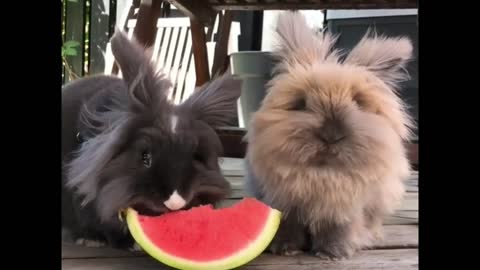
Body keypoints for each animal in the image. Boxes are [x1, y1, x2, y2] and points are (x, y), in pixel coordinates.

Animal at [246, 11, 414, 260]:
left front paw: (332, 253)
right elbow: (289, 226)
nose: (331, 135)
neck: (323, 173)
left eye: (358, 102)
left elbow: (337, 230)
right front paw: (286, 249)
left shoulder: (344, 211)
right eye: (300, 103)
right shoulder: (285, 204)